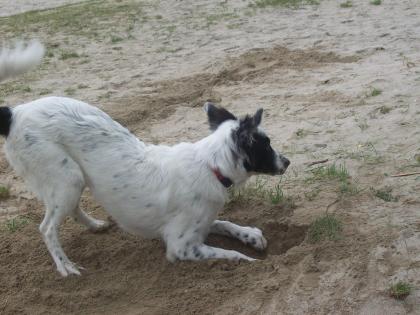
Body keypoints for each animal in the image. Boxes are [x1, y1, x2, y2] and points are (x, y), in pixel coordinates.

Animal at [0, 41, 288, 276]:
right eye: (267, 145)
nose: (287, 162)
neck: (209, 164)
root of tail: (14, 112)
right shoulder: (181, 246)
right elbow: (232, 254)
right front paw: (251, 262)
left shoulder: (196, 226)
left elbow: (226, 223)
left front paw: (251, 235)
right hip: (66, 179)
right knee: (47, 228)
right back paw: (65, 266)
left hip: (70, 182)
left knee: (69, 211)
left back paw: (94, 225)